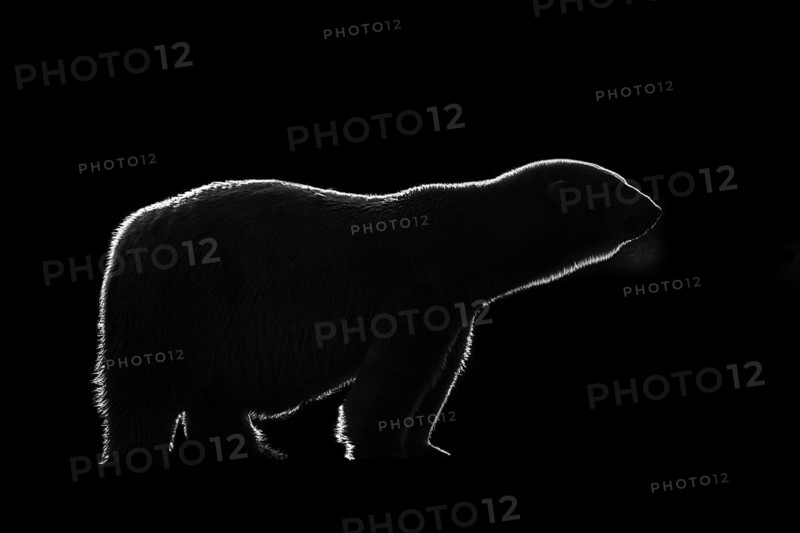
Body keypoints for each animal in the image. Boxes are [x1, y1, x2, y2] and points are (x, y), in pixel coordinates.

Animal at [93, 158, 661, 462]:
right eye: (621, 188)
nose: (655, 209)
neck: (470, 234)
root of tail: (125, 233)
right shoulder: (420, 281)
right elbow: (397, 371)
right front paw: (377, 447)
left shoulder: (462, 301)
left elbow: (442, 371)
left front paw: (427, 447)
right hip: (170, 304)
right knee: (140, 391)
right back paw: (141, 456)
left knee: (212, 393)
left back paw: (254, 450)